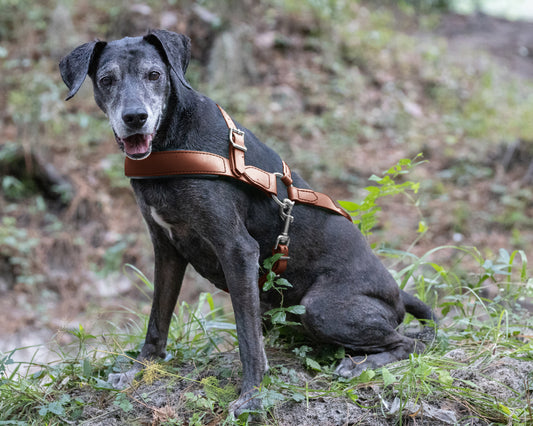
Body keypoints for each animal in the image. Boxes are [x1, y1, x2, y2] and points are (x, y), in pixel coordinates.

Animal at [59, 30, 432, 416]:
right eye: (107, 79)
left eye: (154, 75)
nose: (135, 117)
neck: (170, 143)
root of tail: (397, 294)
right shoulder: (166, 249)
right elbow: (157, 320)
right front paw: (140, 368)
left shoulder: (237, 250)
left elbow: (247, 338)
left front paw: (252, 396)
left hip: (322, 308)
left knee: (411, 343)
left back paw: (360, 364)